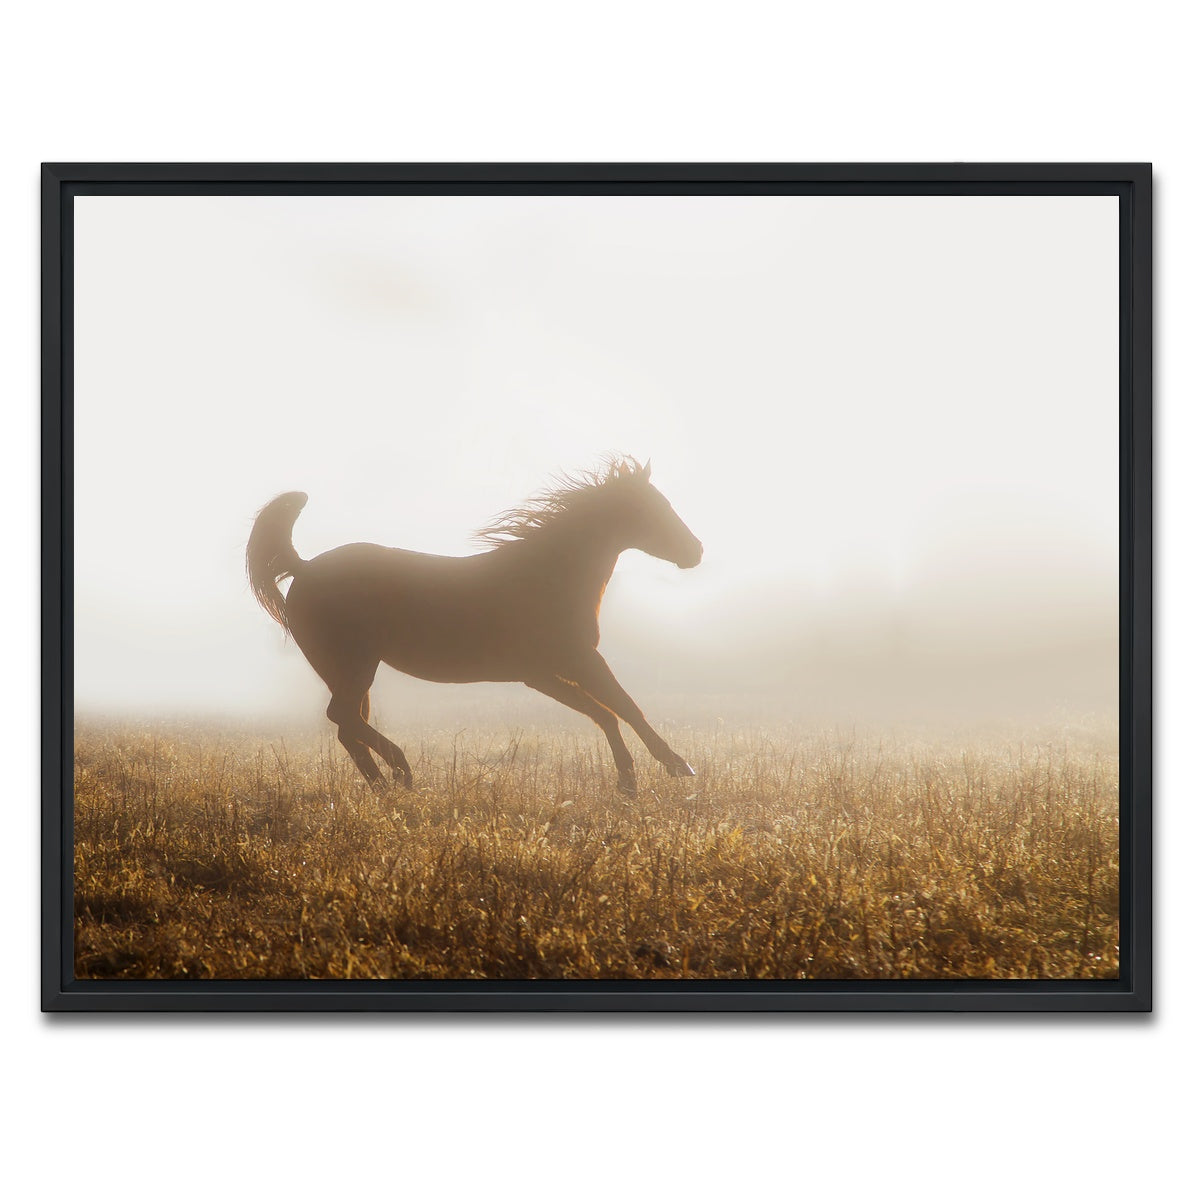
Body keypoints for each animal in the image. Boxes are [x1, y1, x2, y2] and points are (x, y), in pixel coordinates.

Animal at [246, 457, 703, 796]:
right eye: (652, 508)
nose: (695, 551)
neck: (547, 577)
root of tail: (304, 567)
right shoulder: (570, 662)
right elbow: (622, 706)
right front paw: (675, 767)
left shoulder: (545, 672)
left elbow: (605, 712)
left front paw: (630, 781)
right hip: (356, 666)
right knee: (343, 718)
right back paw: (403, 772)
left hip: (346, 671)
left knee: (347, 727)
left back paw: (386, 788)